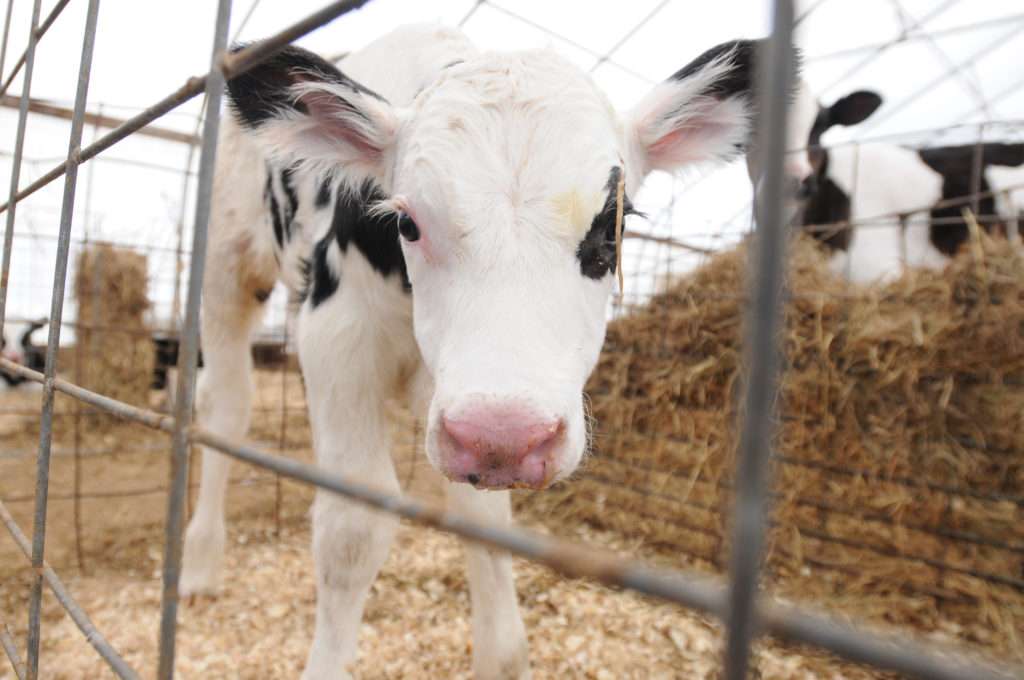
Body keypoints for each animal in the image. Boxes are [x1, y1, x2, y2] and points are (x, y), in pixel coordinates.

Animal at [177, 24, 787, 679]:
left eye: (611, 229)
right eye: (408, 223)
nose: (505, 436)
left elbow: (485, 520)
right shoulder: (337, 337)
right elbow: (353, 527)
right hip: (226, 264)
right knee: (226, 406)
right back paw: (200, 564)